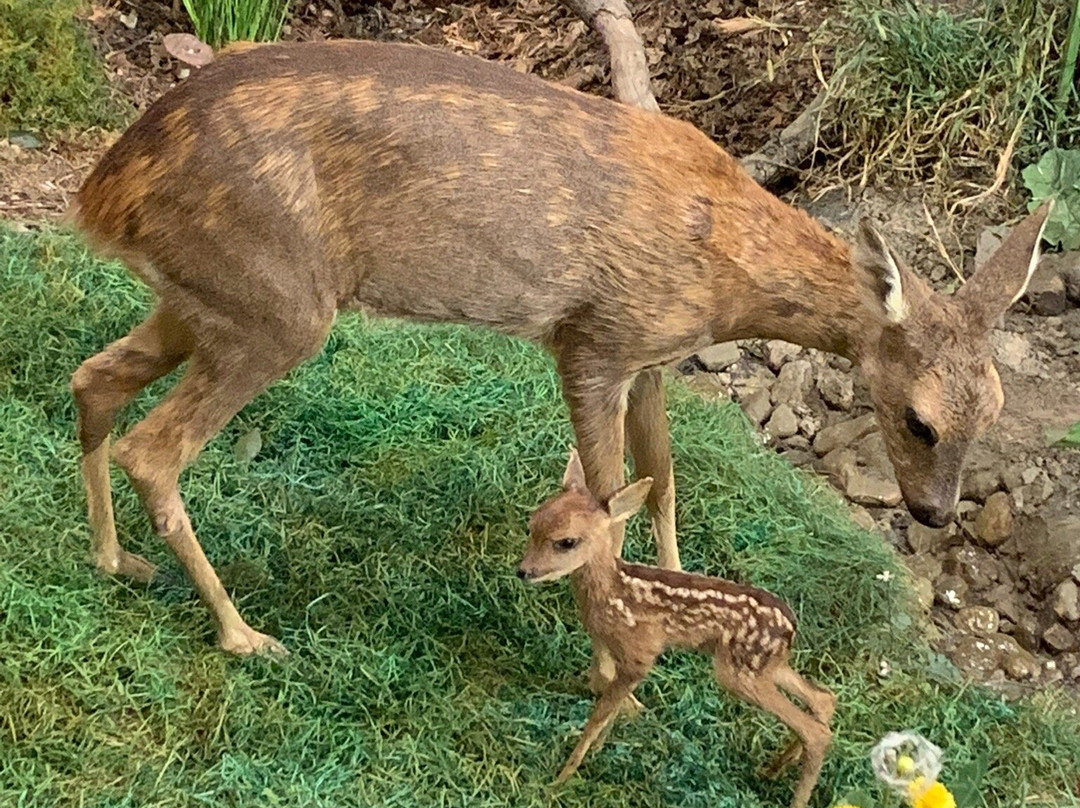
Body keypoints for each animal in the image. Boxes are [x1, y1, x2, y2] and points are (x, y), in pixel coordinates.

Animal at [69, 39, 1045, 656]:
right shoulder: (595, 337)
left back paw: (117, 561)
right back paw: (244, 635)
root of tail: (101, 191)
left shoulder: (655, 355)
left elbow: (664, 481)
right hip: (277, 303)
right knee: (154, 448)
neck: (725, 273)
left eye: (997, 408)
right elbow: (612, 494)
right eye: (917, 420)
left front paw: (684, 590)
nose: (933, 514)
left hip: (209, 297)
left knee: (95, 381)